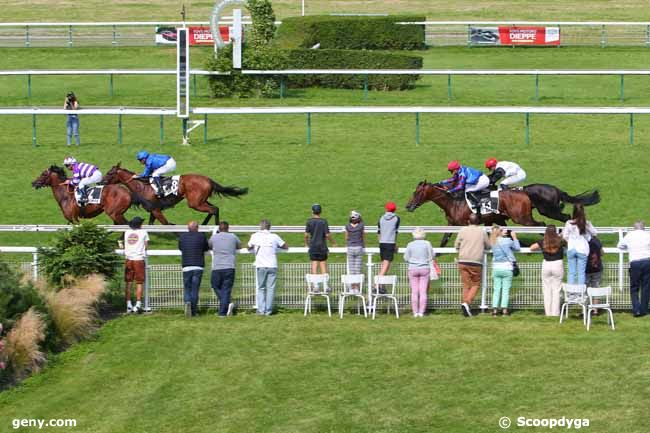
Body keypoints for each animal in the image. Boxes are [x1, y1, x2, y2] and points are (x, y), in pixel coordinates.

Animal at [104, 163, 248, 226]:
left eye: (110, 173)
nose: (102, 181)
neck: (142, 186)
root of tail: (208, 180)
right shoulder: (153, 210)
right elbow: (151, 224)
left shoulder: (156, 210)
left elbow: (166, 224)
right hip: (200, 200)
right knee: (215, 209)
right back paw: (204, 225)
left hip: (194, 203)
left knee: (213, 210)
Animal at [402, 180, 544, 245]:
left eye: (417, 192)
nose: (408, 206)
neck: (453, 202)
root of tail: (524, 193)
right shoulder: (451, 224)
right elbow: (444, 240)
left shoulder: (466, 224)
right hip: (500, 218)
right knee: (509, 232)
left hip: (521, 218)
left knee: (541, 225)